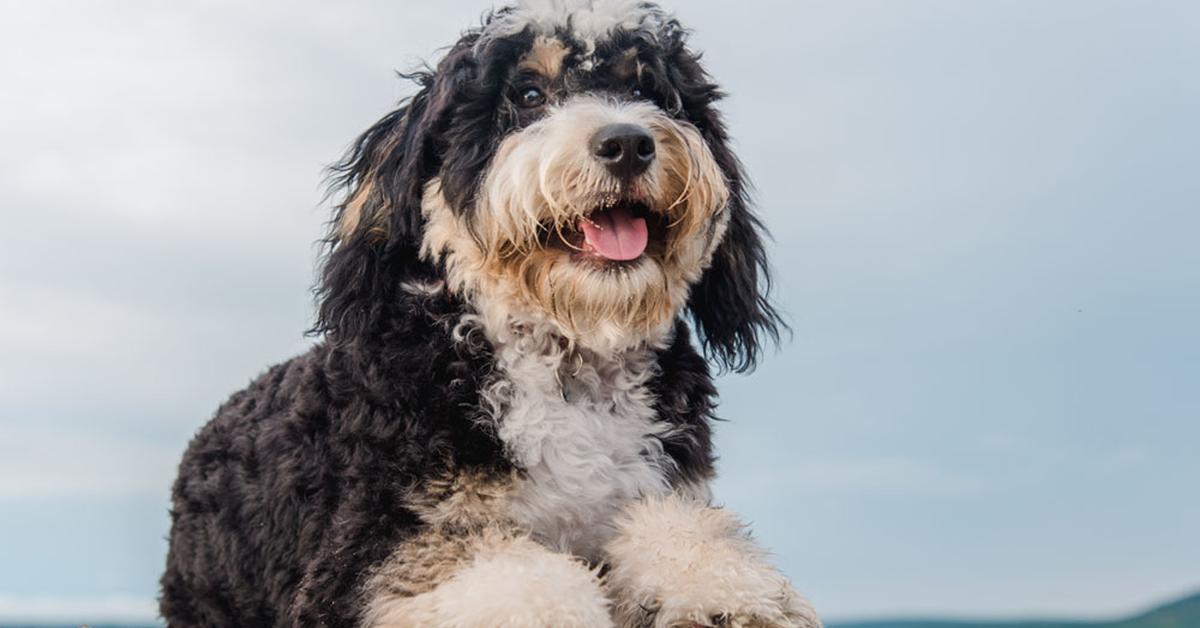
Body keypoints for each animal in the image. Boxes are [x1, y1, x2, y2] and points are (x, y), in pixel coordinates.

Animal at [159, 2, 820, 624]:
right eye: (528, 94)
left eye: (652, 92)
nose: (629, 142)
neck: (565, 362)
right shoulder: (363, 551)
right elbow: (508, 578)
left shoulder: (662, 493)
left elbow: (690, 538)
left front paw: (726, 595)